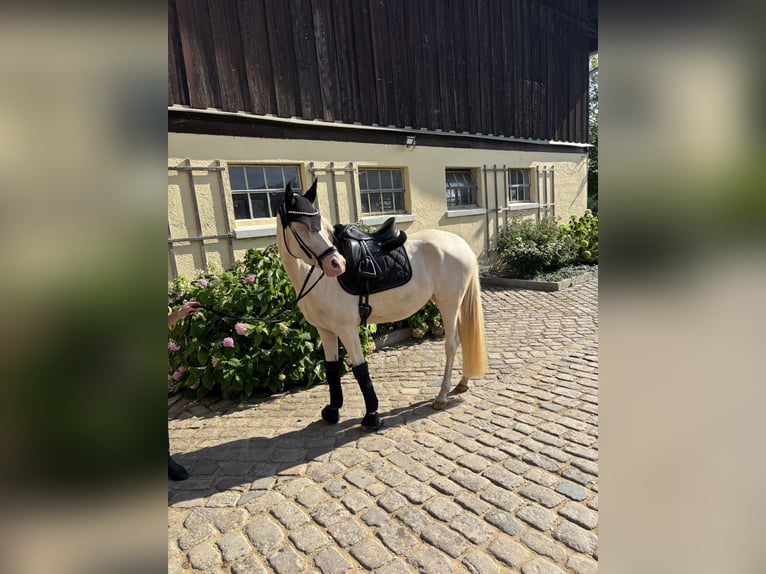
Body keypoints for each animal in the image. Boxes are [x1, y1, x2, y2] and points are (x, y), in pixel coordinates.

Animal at [276, 179, 487, 430]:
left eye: (320, 225)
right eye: (300, 228)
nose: (337, 264)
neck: (318, 278)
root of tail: (461, 244)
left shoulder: (347, 329)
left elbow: (360, 369)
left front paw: (371, 415)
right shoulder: (325, 331)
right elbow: (331, 368)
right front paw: (332, 411)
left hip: (449, 305)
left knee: (452, 343)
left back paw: (442, 396)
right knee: (464, 338)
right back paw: (462, 382)